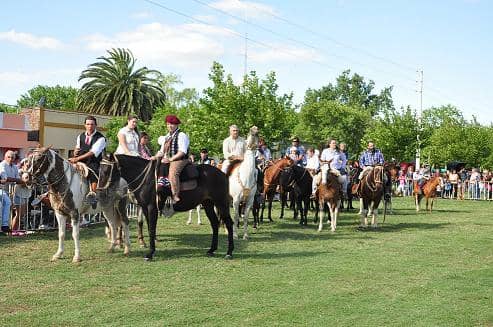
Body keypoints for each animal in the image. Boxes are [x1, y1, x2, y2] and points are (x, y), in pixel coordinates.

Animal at [98, 153, 234, 262]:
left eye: (106, 170)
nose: (99, 191)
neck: (147, 179)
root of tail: (222, 173)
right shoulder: (145, 208)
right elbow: (149, 228)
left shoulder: (151, 208)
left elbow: (151, 229)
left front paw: (150, 254)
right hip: (208, 204)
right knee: (215, 223)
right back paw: (212, 249)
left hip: (221, 203)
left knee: (228, 223)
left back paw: (229, 252)